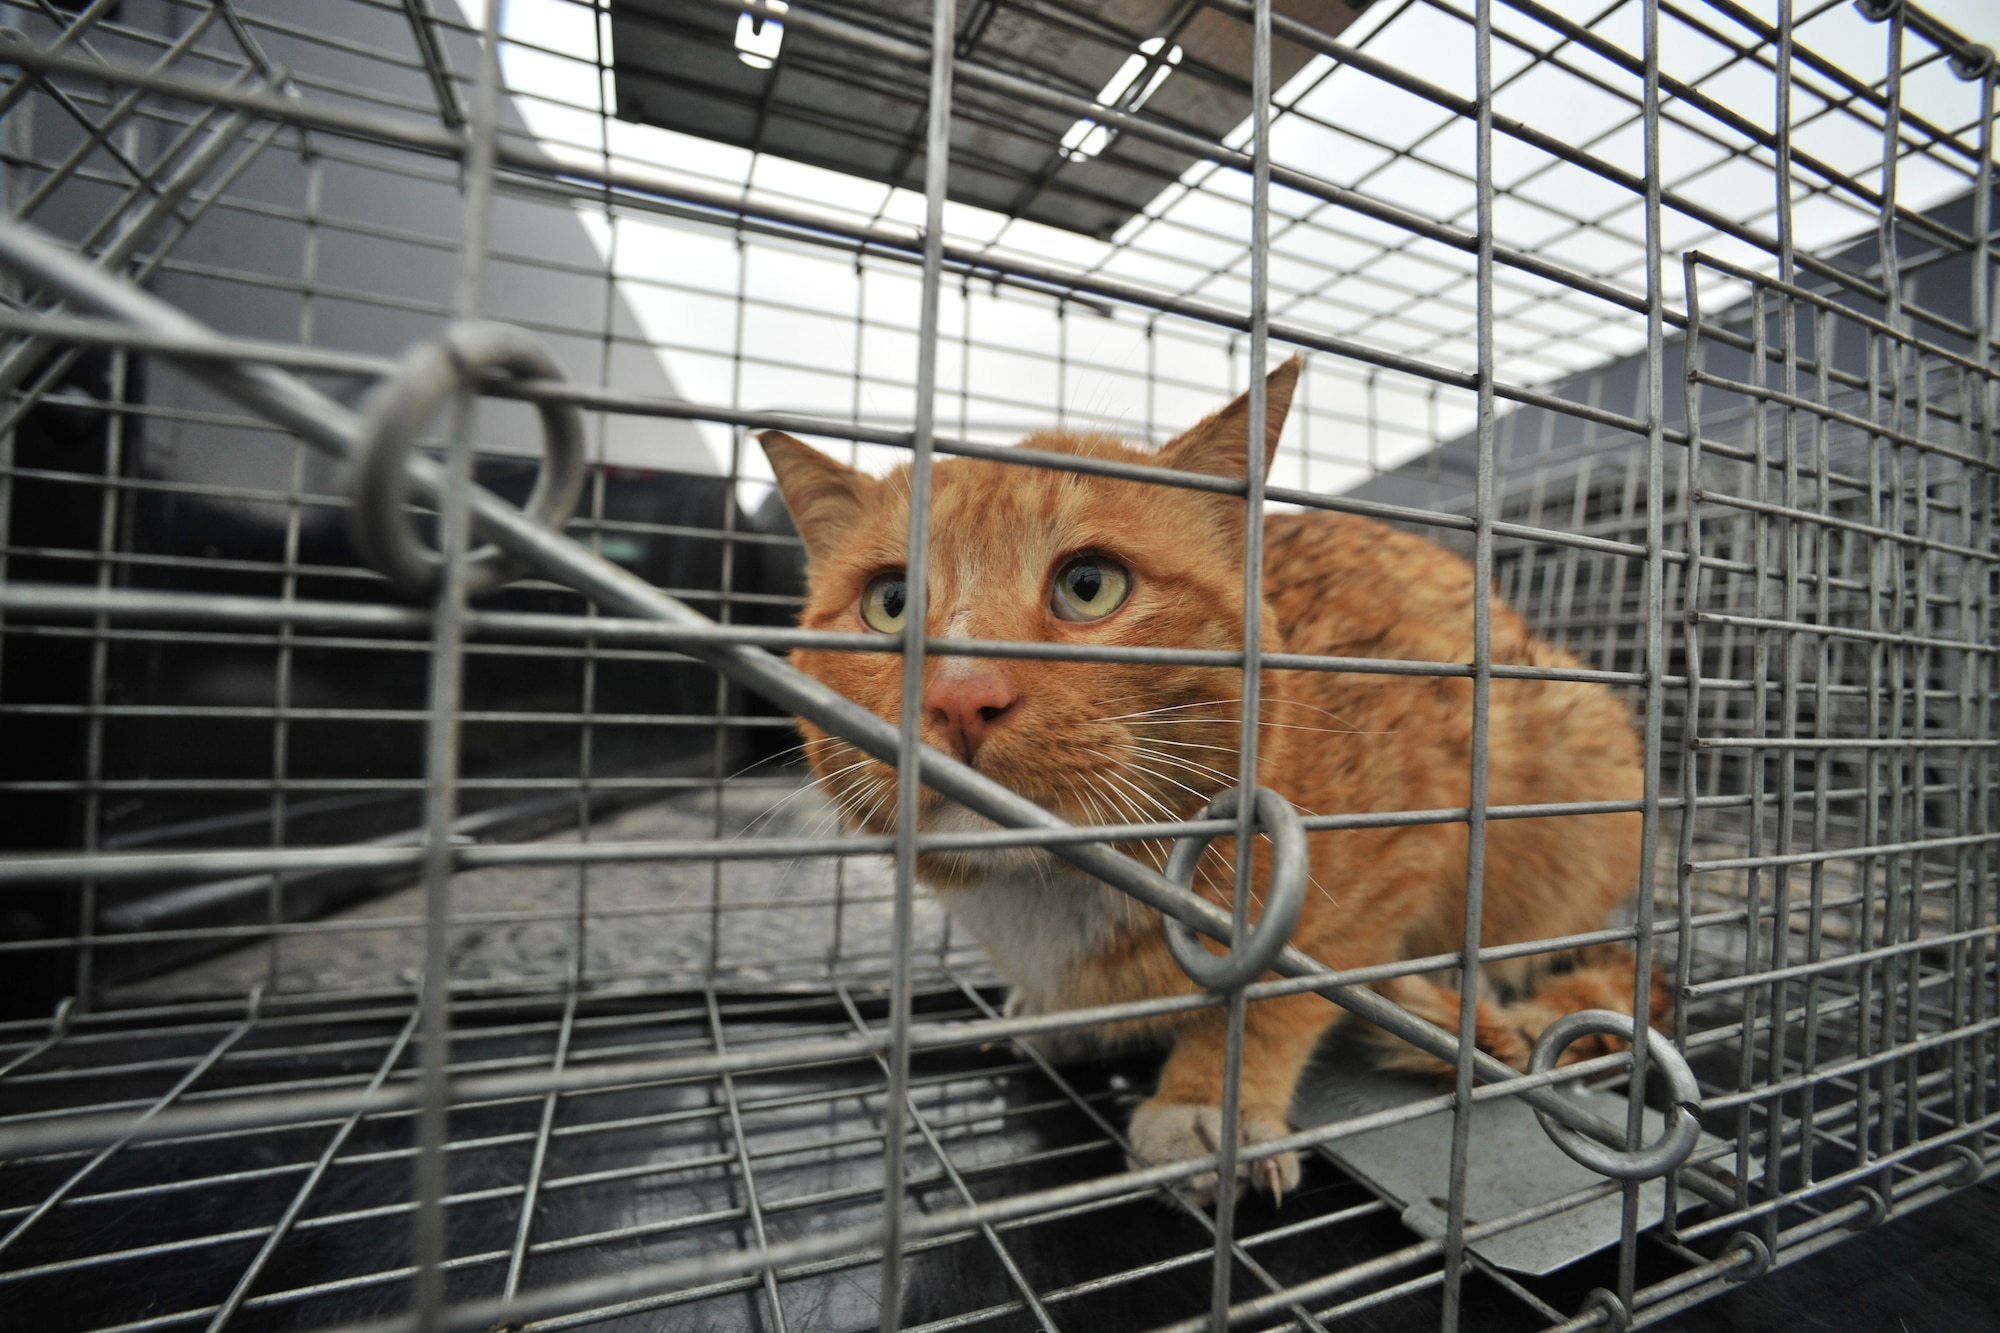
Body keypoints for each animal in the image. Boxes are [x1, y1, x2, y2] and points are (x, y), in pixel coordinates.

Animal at [756, 360, 1664, 1200]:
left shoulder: (1403, 834)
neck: (1057, 900)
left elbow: (1281, 984)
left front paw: (1208, 1098)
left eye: (1090, 585)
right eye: (891, 603)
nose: (959, 696)